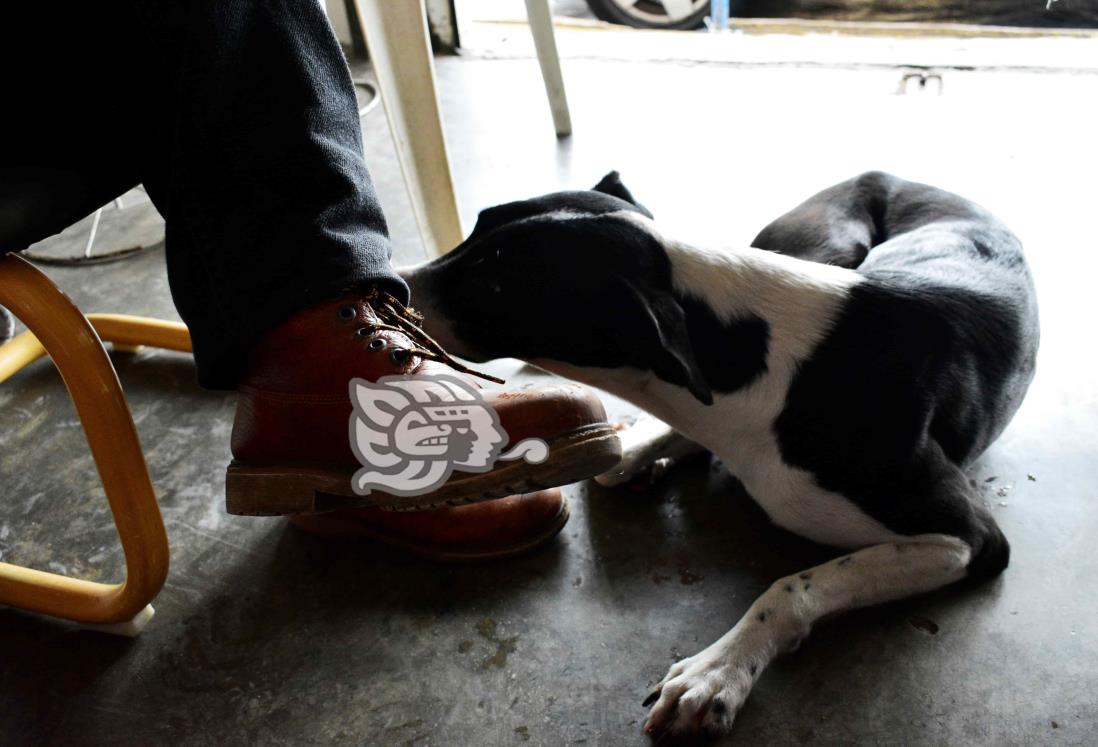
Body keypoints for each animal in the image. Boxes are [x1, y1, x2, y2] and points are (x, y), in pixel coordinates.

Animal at [399, 170, 1032, 733]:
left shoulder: (970, 538)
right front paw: (645, 451)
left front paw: (719, 671)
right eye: (479, 224)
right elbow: (627, 457)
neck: (762, 372)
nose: (391, 284)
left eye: (497, 285)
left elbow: (792, 586)